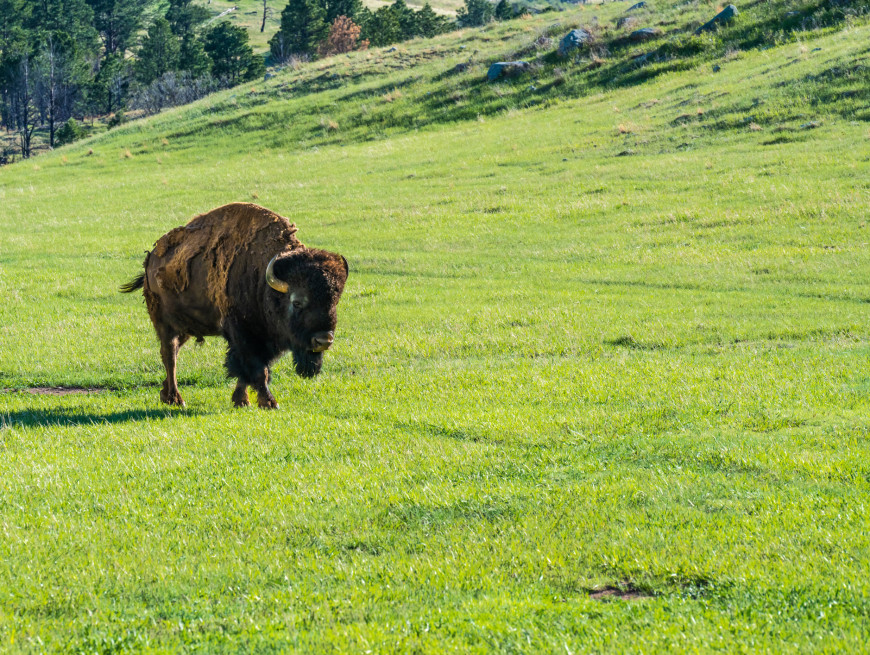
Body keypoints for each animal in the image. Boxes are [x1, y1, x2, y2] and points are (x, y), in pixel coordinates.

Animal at [121, 203, 348, 409]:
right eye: (297, 302)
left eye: (334, 301)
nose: (324, 340)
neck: (263, 281)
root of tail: (151, 258)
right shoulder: (243, 334)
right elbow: (256, 370)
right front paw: (269, 402)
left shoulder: (264, 339)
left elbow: (249, 372)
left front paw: (242, 401)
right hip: (164, 323)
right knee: (169, 355)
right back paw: (176, 399)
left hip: (185, 327)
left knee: (173, 351)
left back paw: (166, 394)